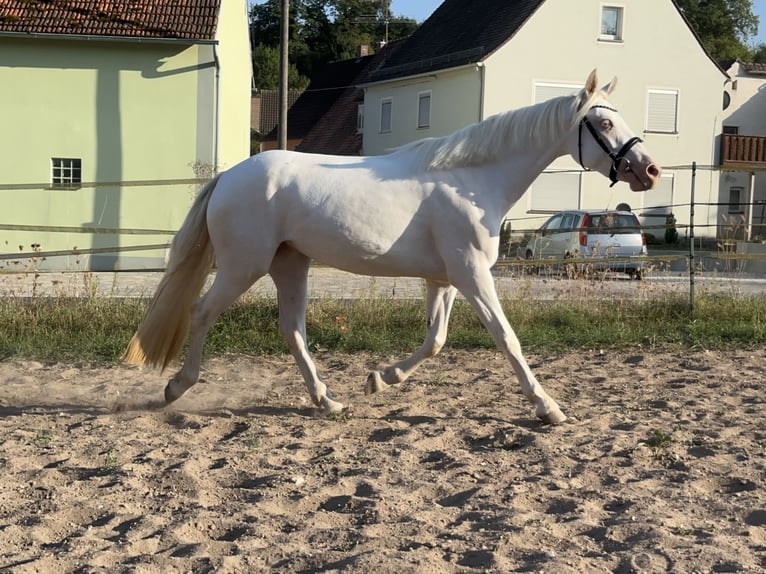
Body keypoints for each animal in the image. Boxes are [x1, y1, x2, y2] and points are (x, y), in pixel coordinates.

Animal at [124, 70, 660, 426]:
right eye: (603, 125)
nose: (648, 169)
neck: (473, 181)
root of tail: (228, 176)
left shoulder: (445, 279)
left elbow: (435, 340)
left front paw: (380, 379)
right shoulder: (472, 275)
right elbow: (507, 338)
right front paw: (548, 407)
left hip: (289, 265)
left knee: (292, 331)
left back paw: (329, 401)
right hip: (244, 266)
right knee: (201, 312)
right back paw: (176, 387)